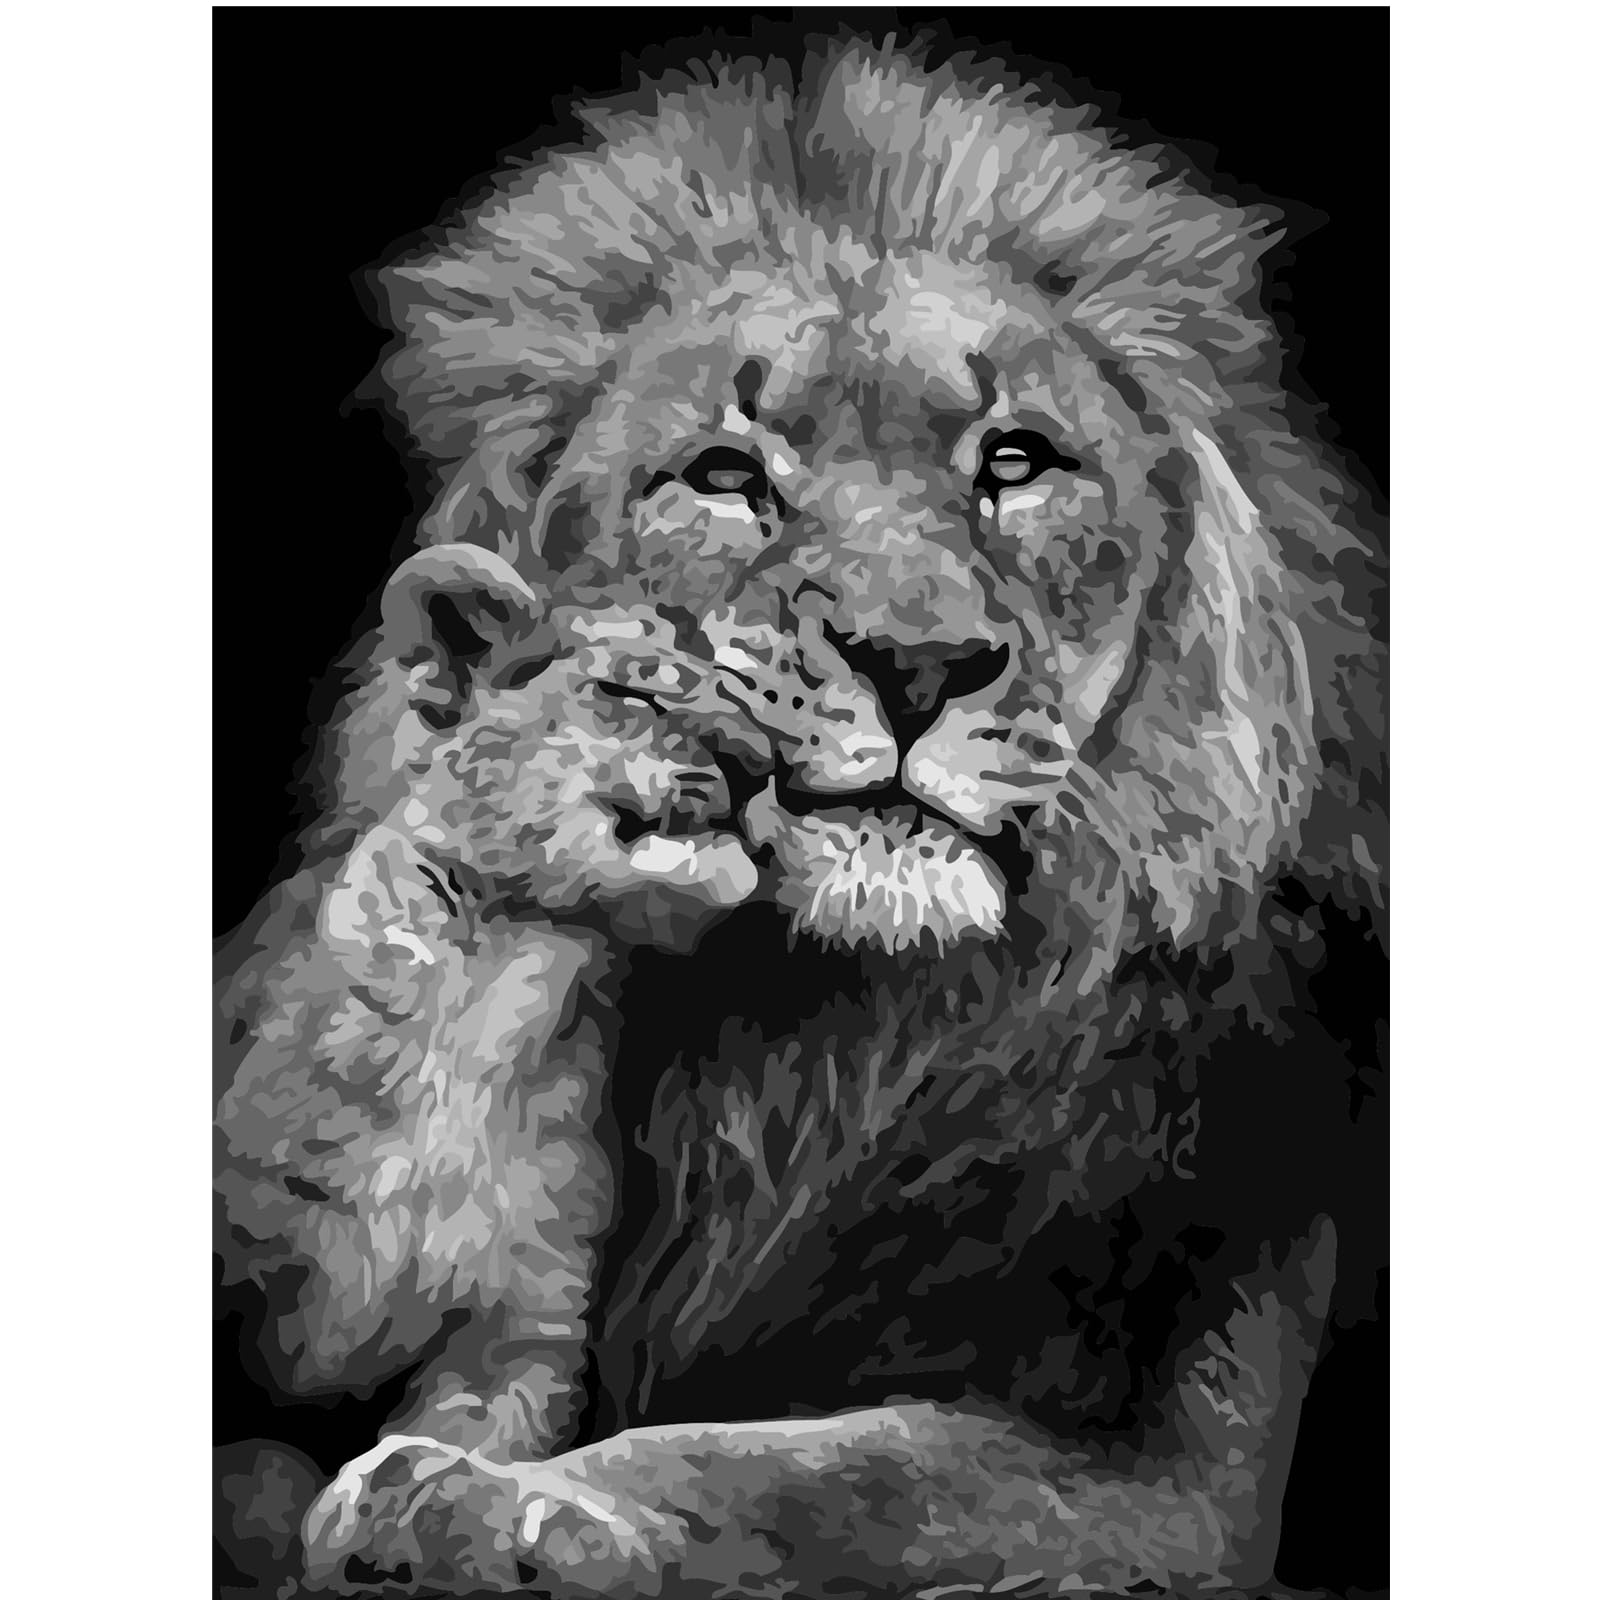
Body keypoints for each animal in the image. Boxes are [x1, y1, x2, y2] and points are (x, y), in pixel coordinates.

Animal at [215, 34, 1386, 1599]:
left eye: (1018, 461)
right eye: (724, 476)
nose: (917, 664)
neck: (820, 1042)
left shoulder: (1178, 1482)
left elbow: (818, 1469)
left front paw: (492, 1503)